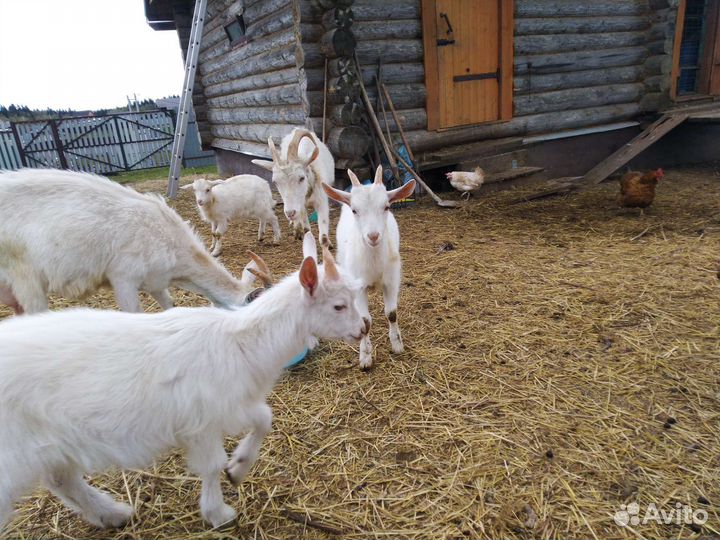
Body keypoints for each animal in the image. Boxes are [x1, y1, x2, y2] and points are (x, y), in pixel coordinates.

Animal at [0, 236, 366, 532]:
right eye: (338, 305)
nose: (364, 328)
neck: (241, 342)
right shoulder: (200, 420)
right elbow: (211, 464)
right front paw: (218, 513)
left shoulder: (231, 404)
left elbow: (265, 419)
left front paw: (239, 468)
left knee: (61, 479)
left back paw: (113, 514)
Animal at [322, 166, 416, 369]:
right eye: (355, 210)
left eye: (386, 206)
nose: (373, 236)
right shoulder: (359, 287)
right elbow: (365, 322)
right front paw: (365, 356)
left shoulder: (392, 280)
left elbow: (391, 313)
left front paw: (397, 344)